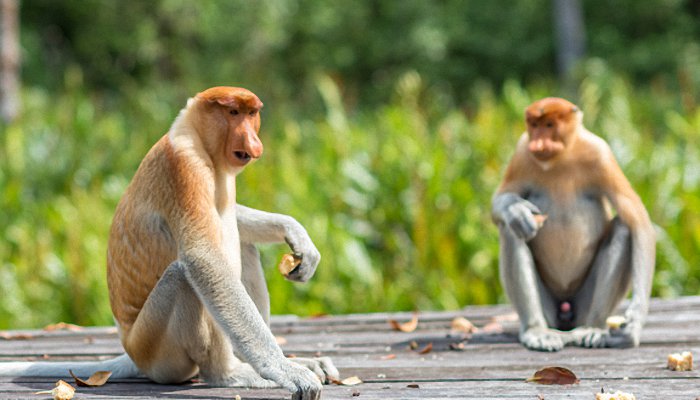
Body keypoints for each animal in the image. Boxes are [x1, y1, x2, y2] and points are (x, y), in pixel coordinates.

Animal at [492, 98, 656, 352]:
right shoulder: (522, 152)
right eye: (534, 125)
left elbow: (638, 221)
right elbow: (499, 201)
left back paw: (593, 329)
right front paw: (516, 212)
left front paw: (634, 323)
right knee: (511, 232)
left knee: (622, 228)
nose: (537, 144)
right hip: (550, 308)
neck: (562, 158)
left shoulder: (601, 154)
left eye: (549, 125)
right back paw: (537, 331)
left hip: (583, 305)